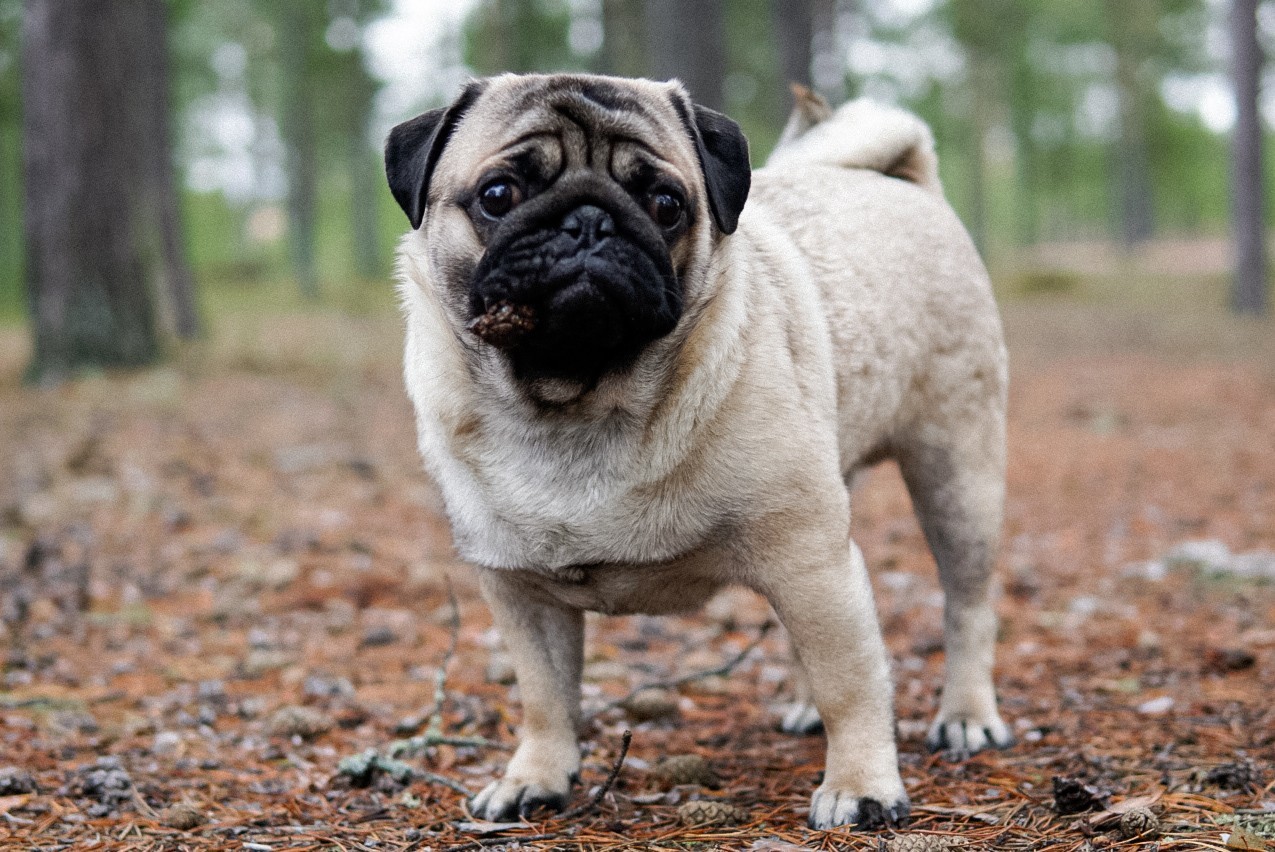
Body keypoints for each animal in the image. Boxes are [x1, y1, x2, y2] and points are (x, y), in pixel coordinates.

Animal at [382, 76, 1009, 826]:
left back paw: (966, 715)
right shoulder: (519, 590)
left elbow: (851, 683)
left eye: (665, 203)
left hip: (954, 480)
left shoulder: (807, 558)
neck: (577, 407)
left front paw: (862, 786)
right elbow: (545, 696)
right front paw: (536, 777)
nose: (590, 221)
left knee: (965, 604)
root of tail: (899, 179)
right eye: (498, 194)